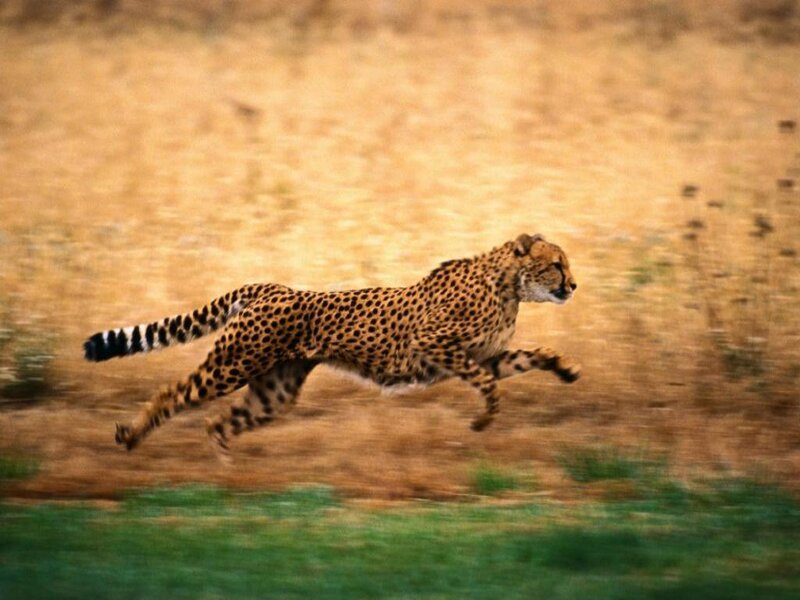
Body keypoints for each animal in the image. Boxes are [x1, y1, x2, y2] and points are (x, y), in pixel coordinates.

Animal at [83, 233, 580, 454]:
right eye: (556, 264)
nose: (574, 285)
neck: (508, 285)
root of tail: (271, 287)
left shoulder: (483, 356)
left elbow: (529, 357)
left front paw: (565, 368)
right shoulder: (433, 345)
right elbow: (488, 385)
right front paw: (482, 421)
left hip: (275, 390)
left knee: (219, 422)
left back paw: (227, 468)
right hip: (233, 365)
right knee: (175, 392)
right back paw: (131, 436)